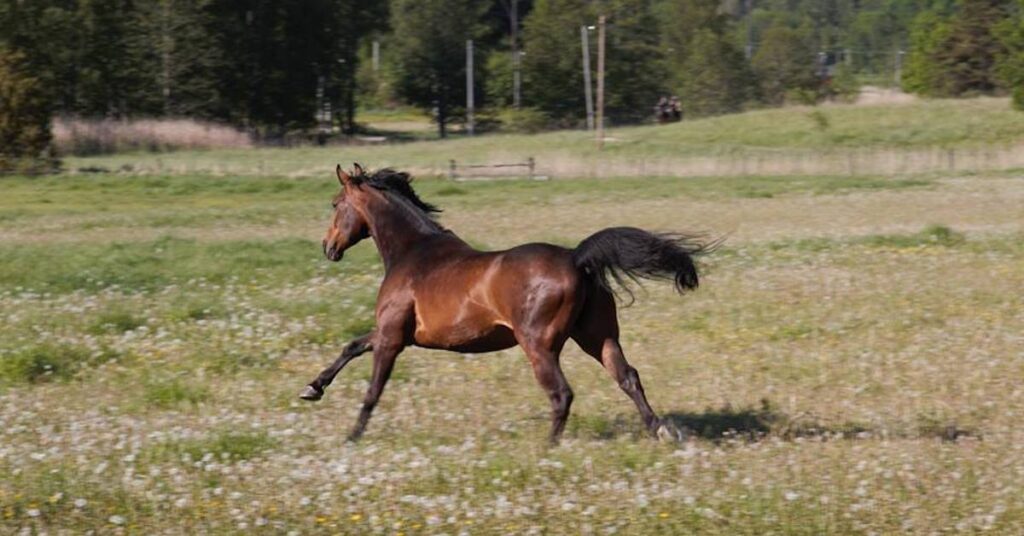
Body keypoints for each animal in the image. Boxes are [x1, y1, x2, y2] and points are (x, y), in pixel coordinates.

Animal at [299, 166, 708, 442]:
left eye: (335, 204)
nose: (328, 247)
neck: (412, 253)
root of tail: (576, 258)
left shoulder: (391, 338)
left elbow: (372, 390)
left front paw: (352, 436)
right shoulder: (395, 334)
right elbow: (351, 346)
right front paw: (312, 388)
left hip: (539, 345)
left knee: (562, 394)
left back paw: (547, 449)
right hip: (598, 337)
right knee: (628, 377)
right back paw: (660, 431)